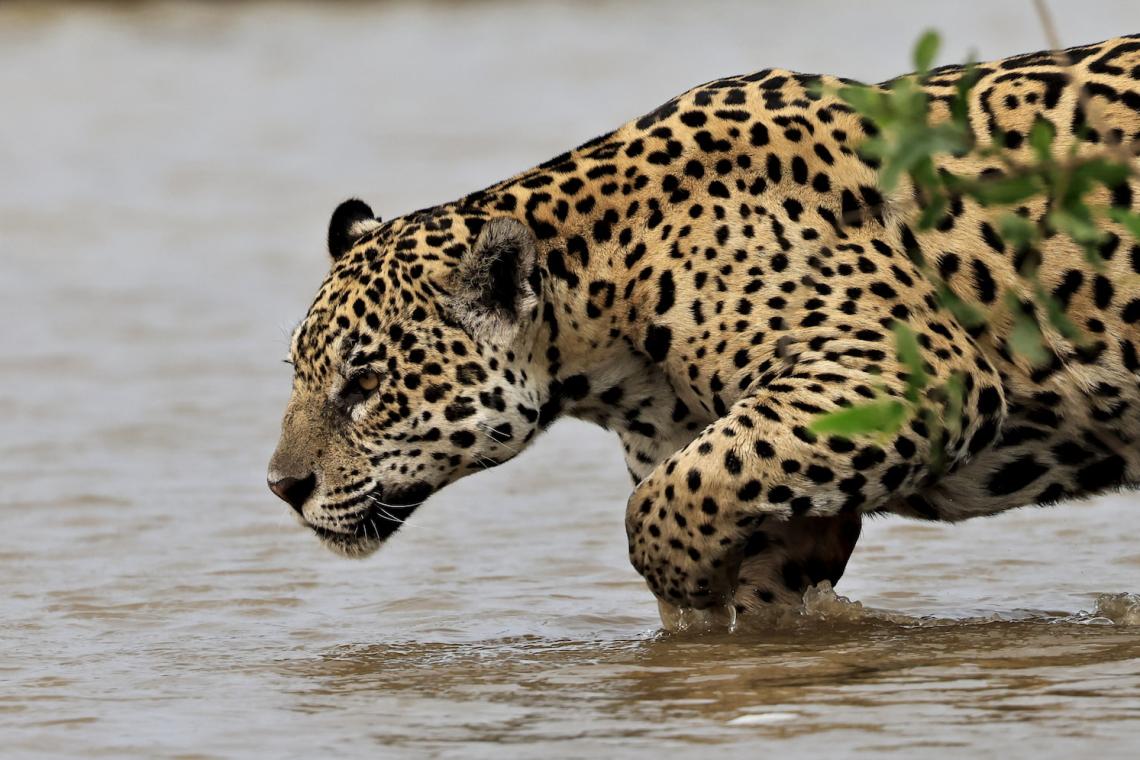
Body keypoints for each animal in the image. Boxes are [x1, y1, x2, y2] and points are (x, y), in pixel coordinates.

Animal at [269, 35, 1140, 623]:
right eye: (299, 376)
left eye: (364, 384)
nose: (282, 488)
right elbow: (720, 502)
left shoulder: (913, 372)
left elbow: (660, 503)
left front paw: (684, 590)